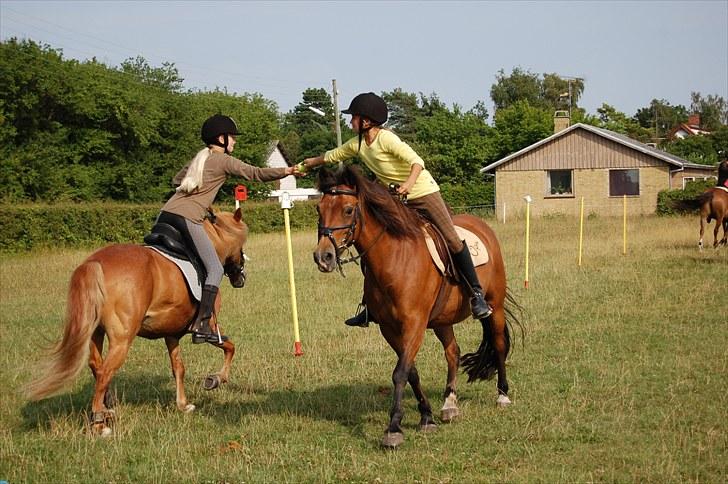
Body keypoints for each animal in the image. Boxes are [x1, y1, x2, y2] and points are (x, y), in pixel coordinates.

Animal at [24, 210, 249, 436]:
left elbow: (179, 367)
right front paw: (216, 379)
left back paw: (107, 408)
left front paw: (183, 405)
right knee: (104, 372)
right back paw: (99, 424)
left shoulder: (171, 334)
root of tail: (94, 262)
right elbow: (230, 347)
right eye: (241, 244)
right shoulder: (209, 329)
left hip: (95, 331)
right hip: (122, 339)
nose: (240, 277)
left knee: (96, 365)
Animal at [314, 166, 524, 450]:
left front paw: (393, 428)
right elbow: (410, 371)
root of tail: (482, 226)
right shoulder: (390, 328)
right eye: (319, 209)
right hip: (443, 320)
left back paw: (502, 394)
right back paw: (449, 404)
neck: (394, 258)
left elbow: (400, 372)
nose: (323, 257)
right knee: (453, 353)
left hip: (495, 305)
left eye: (348, 210)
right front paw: (427, 417)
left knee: (499, 344)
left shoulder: (414, 323)